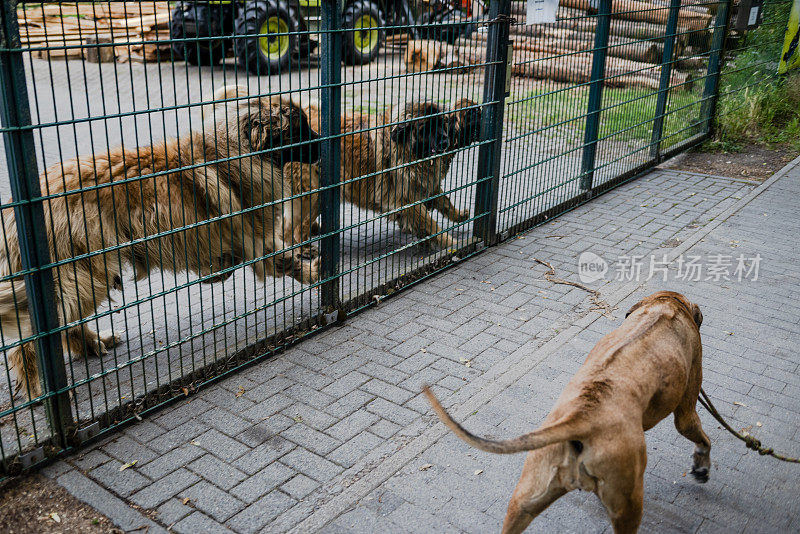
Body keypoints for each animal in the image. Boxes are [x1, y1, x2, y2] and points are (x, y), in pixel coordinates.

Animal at [2, 86, 322, 400]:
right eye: (301, 128)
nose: (323, 144)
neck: (236, 150)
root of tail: (16, 211)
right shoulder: (254, 236)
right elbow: (279, 259)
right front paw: (310, 271)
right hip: (81, 276)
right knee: (29, 341)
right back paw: (38, 389)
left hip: (84, 276)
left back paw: (91, 344)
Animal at [428, 294, 708, 534]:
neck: (665, 304)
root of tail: (581, 418)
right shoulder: (687, 408)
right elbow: (700, 436)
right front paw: (702, 463)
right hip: (628, 502)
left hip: (528, 496)